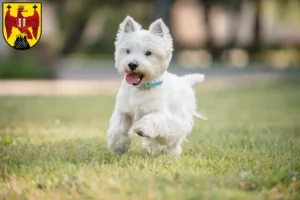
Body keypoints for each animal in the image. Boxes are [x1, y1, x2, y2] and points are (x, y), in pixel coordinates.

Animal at [106, 16, 206, 156]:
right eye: (128, 51)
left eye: (148, 53)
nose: (132, 64)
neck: (141, 88)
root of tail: (185, 81)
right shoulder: (123, 111)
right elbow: (117, 128)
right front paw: (119, 146)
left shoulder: (162, 113)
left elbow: (152, 118)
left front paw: (141, 128)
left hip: (181, 120)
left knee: (173, 139)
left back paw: (171, 153)